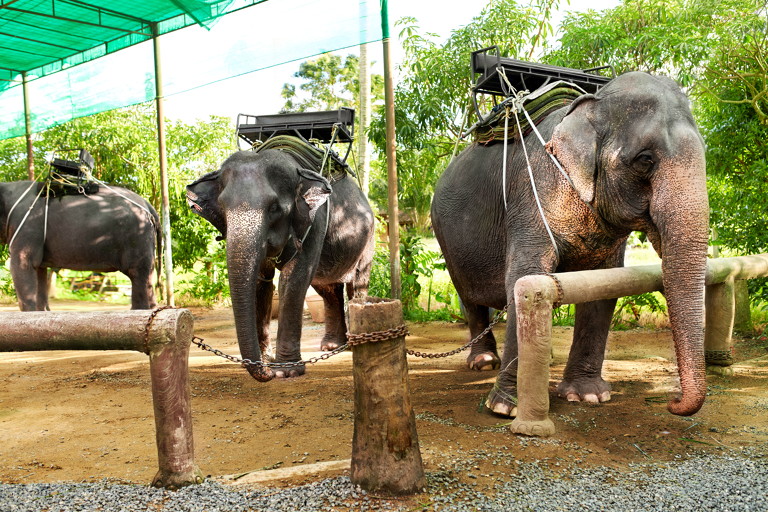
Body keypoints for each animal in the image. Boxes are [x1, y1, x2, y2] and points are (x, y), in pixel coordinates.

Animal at [0, 180, 160, 311]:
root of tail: (148, 205)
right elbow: (39, 270)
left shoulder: (26, 224)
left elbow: (23, 264)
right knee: (148, 279)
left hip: (136, 237)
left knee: (137, 274)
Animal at [186, 149, 375, 382]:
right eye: (222, 206)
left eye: (274, 208)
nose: (266, 373)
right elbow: (261, 282)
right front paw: (266, 361)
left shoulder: (315, 221)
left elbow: (293, 279)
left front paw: (286, 371)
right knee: (329, 290)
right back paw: (331, 346)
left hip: (368, 240)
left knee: (356, 285)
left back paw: (354, 343)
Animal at [431, 72, 709, 417]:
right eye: (645, 160)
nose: (671, 401)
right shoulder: (533, 192)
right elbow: (523, 277)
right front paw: (504, 408)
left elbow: (604, 286)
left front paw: (588, 396)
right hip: (445, 234)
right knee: (467, 295)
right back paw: (483, 362)